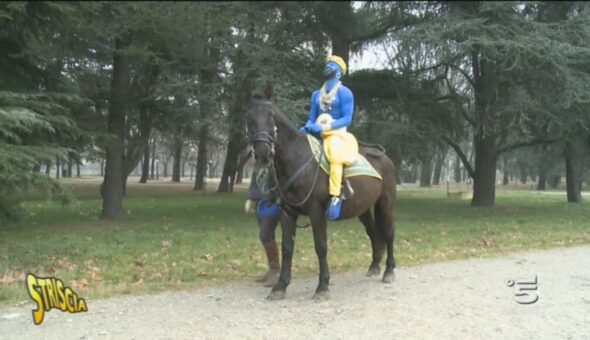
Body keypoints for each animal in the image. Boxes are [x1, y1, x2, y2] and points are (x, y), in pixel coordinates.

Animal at [245, 84, 398, 300]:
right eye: (249, 116)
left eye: (271, 114)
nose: (263, 153)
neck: (298, 159)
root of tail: (383, 157)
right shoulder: (287, 213)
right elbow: (287, 248)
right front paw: (280, 286)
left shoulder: (316, 211)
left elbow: (321, 247)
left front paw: (322, 286)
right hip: (363, 209)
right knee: (373, 233)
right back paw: (374, 266)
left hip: (386, 203)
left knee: (389, 234)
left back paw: (389, 271)